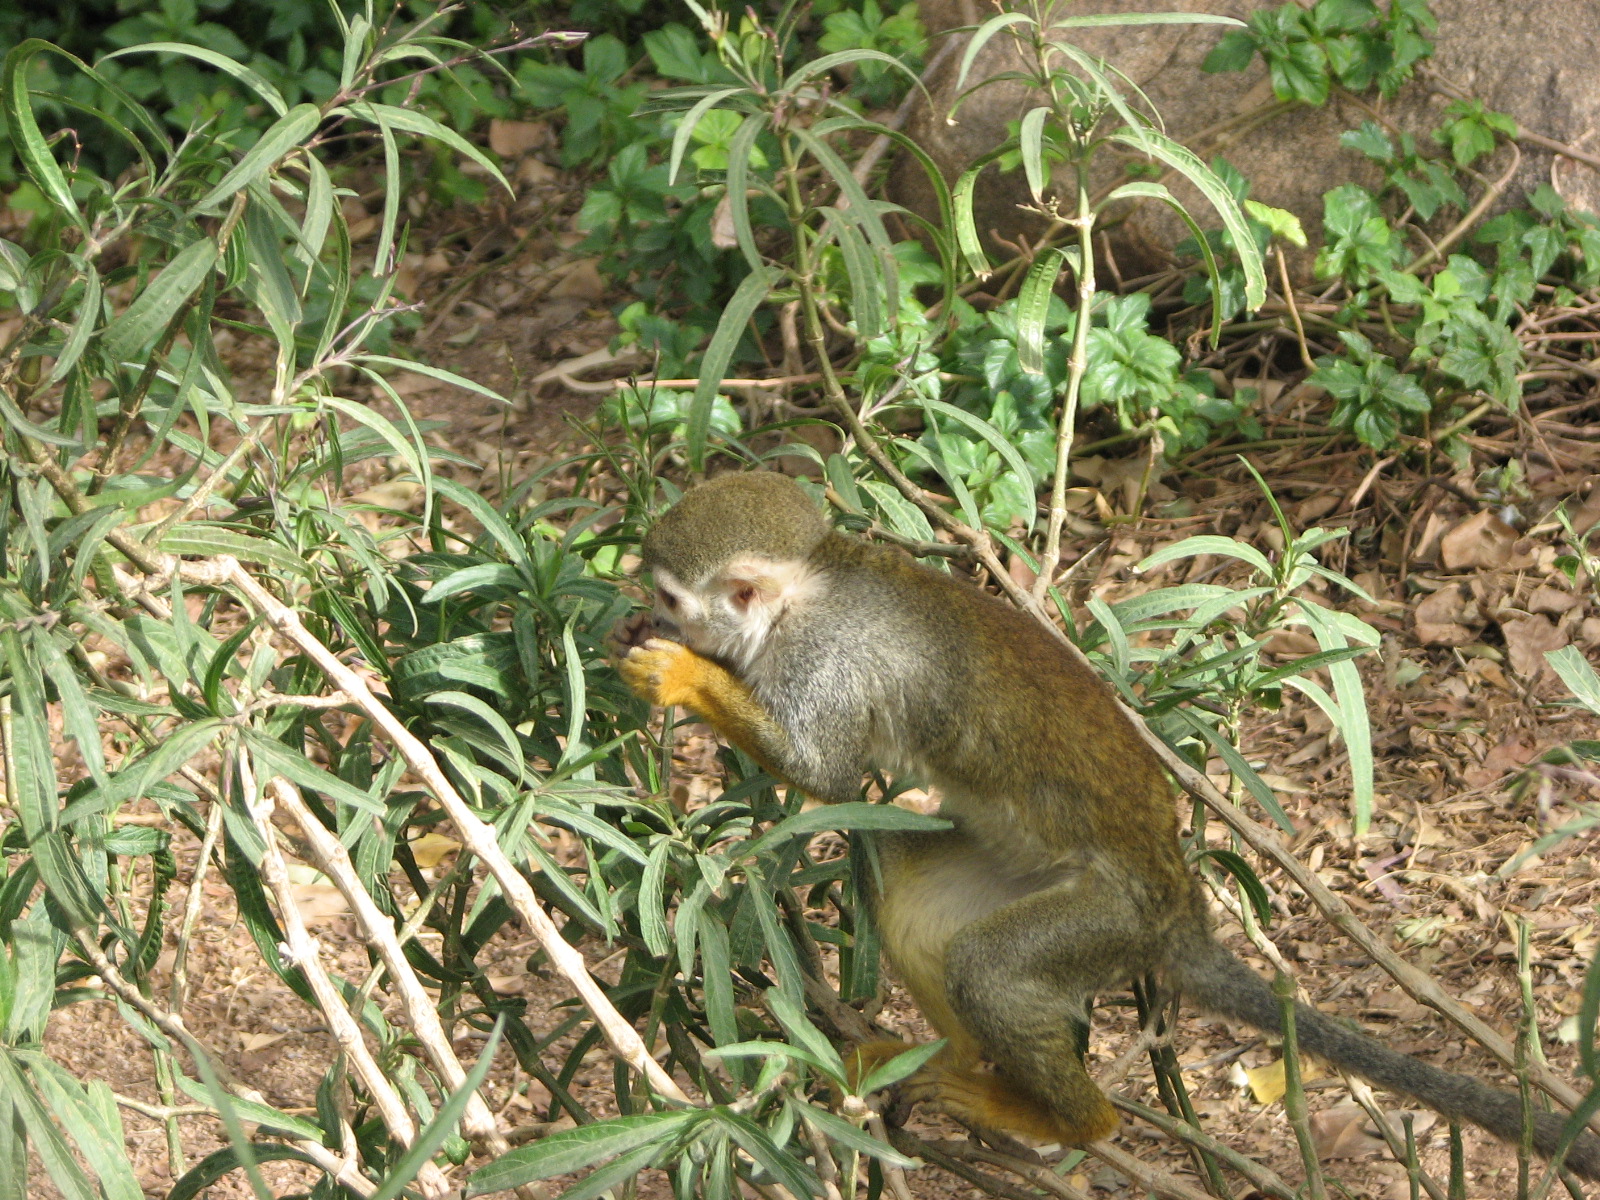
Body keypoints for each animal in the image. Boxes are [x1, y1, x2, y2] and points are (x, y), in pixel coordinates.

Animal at [617, 470, 1600, 1179]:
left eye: (671, 600)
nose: (643, 616)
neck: (811, 588)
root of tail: (1180, 911)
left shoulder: (819, 657)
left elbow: (825, 773)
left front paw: (683, 678)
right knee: (915, 899)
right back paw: (963, 1064)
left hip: (1104, 922)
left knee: (993, 964)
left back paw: (1074, 1118)